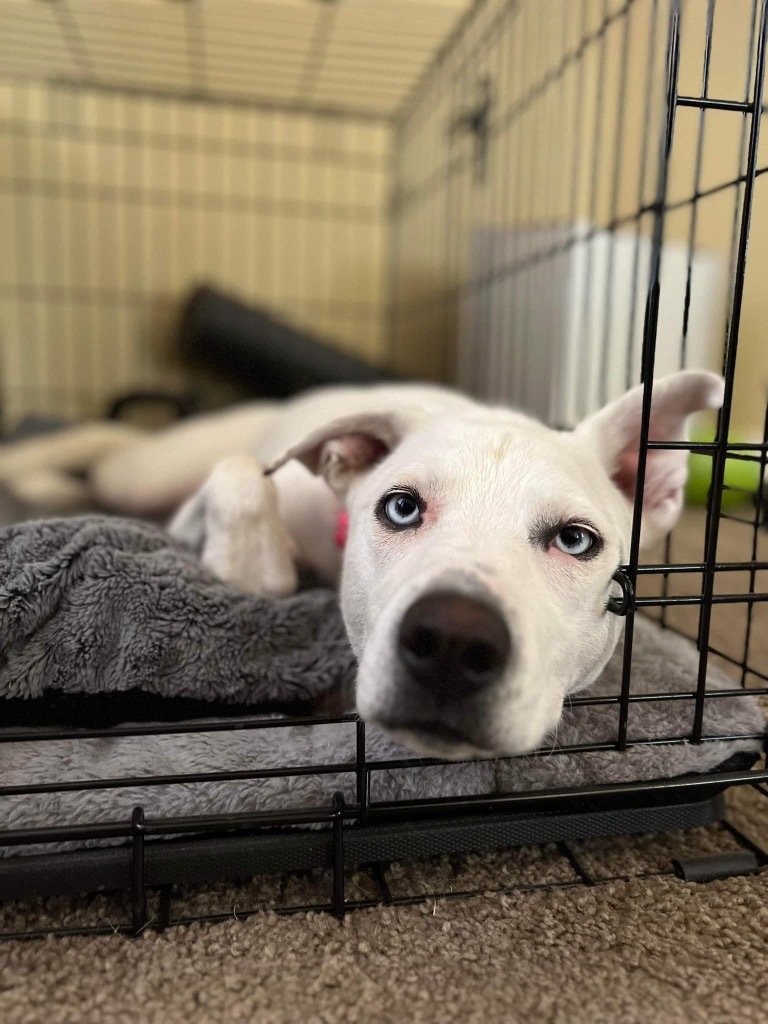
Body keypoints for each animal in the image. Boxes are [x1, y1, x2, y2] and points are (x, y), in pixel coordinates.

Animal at [0, 372, 724, 757]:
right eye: (400, 507)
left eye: (575, 541)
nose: (453, 640)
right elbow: (243, 479)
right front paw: (251, 566)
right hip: (144, 472)